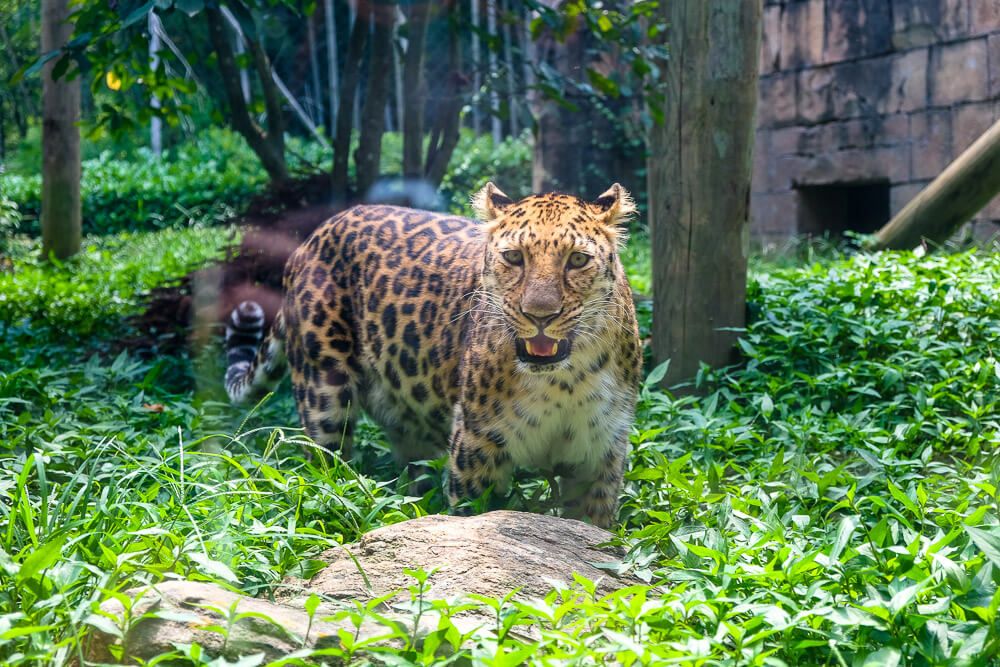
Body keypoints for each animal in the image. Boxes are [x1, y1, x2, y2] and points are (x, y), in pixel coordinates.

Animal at [224, 183, 644, 528]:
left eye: (577, 260)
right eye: (513, 258)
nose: (540, 315)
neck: (562, 381)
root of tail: (312, 237)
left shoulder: (600, 451)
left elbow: (590, 527)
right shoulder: (476, 445)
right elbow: (473, 515)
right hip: (323, 392)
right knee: (324, 464)